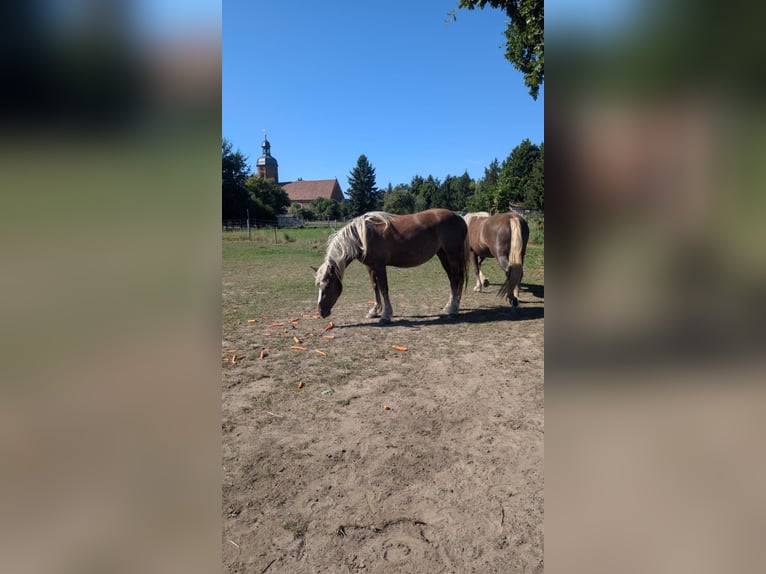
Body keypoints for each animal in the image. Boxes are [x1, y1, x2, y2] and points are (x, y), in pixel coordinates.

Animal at [313, 208, 469, 324]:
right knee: (453, 279)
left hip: (452, 255)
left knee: (455, 279)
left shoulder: (380, 266)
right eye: (318, 286)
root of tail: (459, 217)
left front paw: (385, 315)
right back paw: (451, 305)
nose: (321, 312)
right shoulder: (370, 267)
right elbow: (375, 287)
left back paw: (452, 310)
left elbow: (384, 289)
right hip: (443, 255)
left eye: (327, 286)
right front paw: (374, 311)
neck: (362, 237)